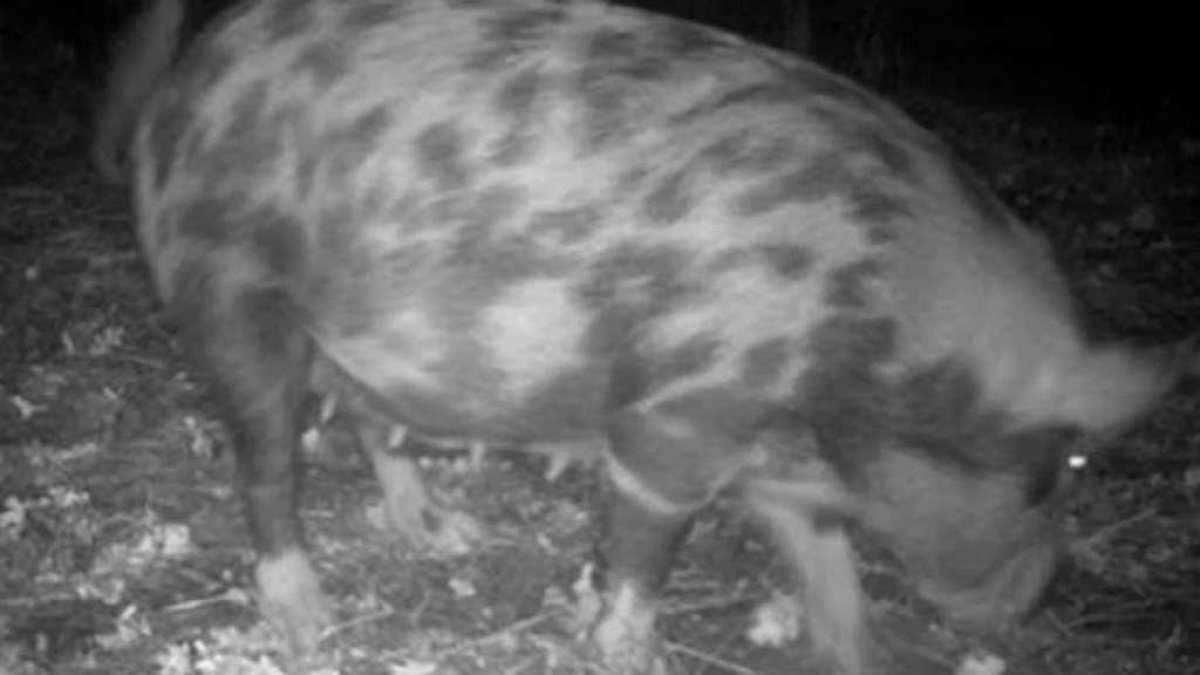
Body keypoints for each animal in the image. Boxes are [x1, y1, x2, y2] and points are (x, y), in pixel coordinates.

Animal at [93, 0, 1195, 671]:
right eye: (1063, 464)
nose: (1040, 599)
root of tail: (190, 80)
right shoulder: (678, 416)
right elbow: (644, 553)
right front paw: (628, 651)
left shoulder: (781, 468)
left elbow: (833, 571)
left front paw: (852, 653)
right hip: (234, 289)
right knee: (267, 457)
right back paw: (307, 614)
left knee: (371, 422)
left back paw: (447, 531)